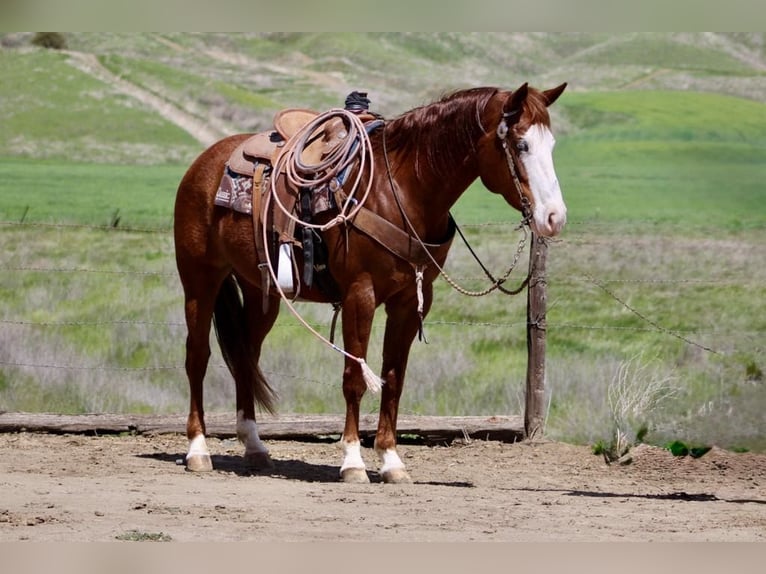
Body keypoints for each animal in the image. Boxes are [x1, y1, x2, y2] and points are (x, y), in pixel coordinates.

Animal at [173, 82, 568, 483]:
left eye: (551, 145)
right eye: (521, 145)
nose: (555, 217)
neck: (402, 190)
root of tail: (203, 163)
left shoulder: (411, 300)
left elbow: (394, 378)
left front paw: (391, 461)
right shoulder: (359, 294)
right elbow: (355, 376)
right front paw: (352, 461)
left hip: (259, 290)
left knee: (245, 355)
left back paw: (254, 446)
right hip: (199, 279)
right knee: (197, 356)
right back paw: (198, 450)